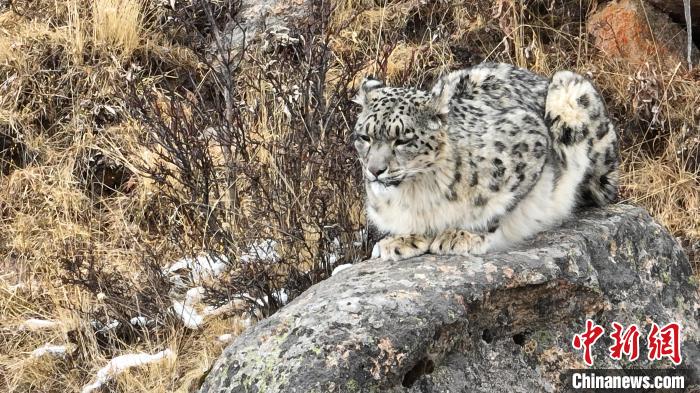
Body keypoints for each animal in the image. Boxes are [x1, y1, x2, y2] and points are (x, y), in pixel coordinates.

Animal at [356, 62, 616, 260]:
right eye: (364, 137)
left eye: (402, 140)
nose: (375, 170)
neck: (417, 192)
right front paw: (402, 240)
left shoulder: (531, 141)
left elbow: (496, 207)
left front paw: (462, 235)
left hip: (571, 95)